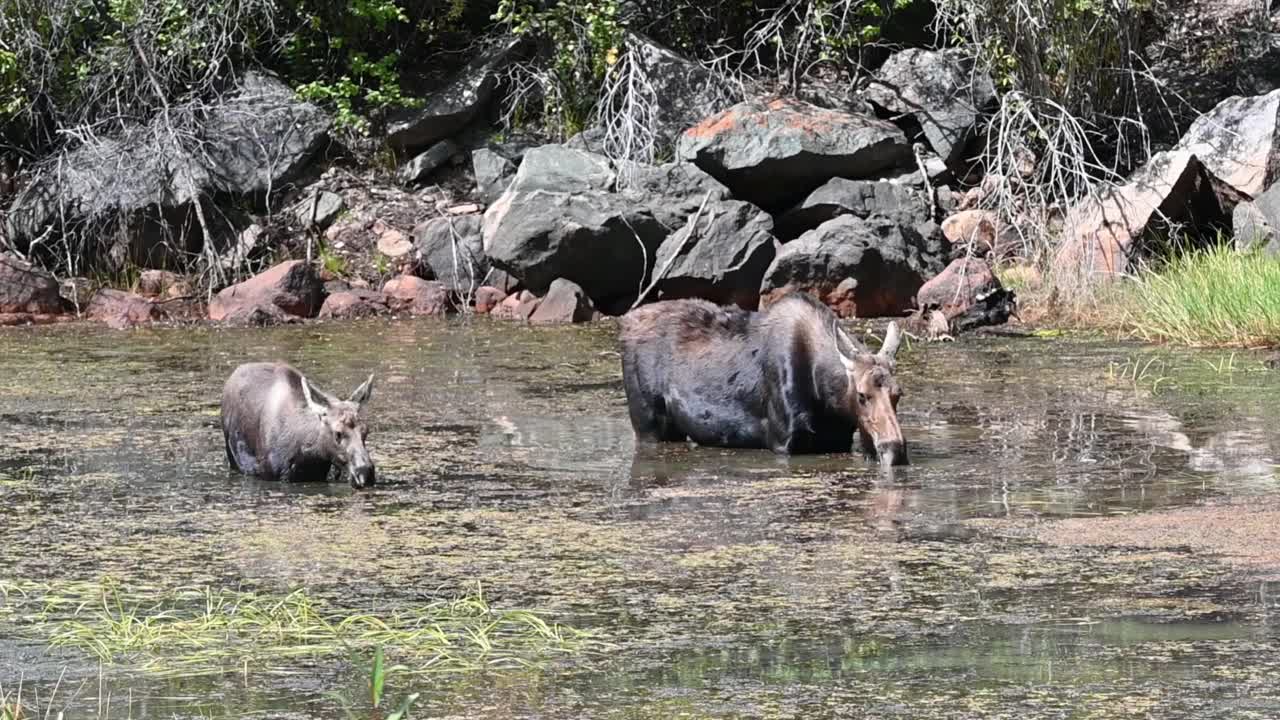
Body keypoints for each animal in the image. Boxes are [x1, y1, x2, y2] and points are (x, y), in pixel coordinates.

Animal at [619, 292, 911, 466]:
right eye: (862, 395)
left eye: (898, 393)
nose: (895, 450)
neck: (826, 397)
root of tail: (624, 323)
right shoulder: (784, 442)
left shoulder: (838, 440)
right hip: (649, 425)